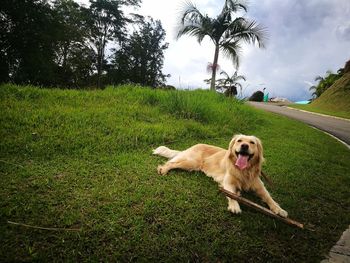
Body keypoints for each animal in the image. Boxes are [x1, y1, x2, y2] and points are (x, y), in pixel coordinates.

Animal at [152, 135, 288, 218]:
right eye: (239, 141)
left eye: (252, 142)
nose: (244, 146)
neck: (244, 171)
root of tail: (192, 146)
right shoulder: (228, 183)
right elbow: (231, 195)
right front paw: (234, 206)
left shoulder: (259, 186)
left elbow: (269, 197)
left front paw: (278, 209)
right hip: (192, 163)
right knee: (171, 163)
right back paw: (163, 169)